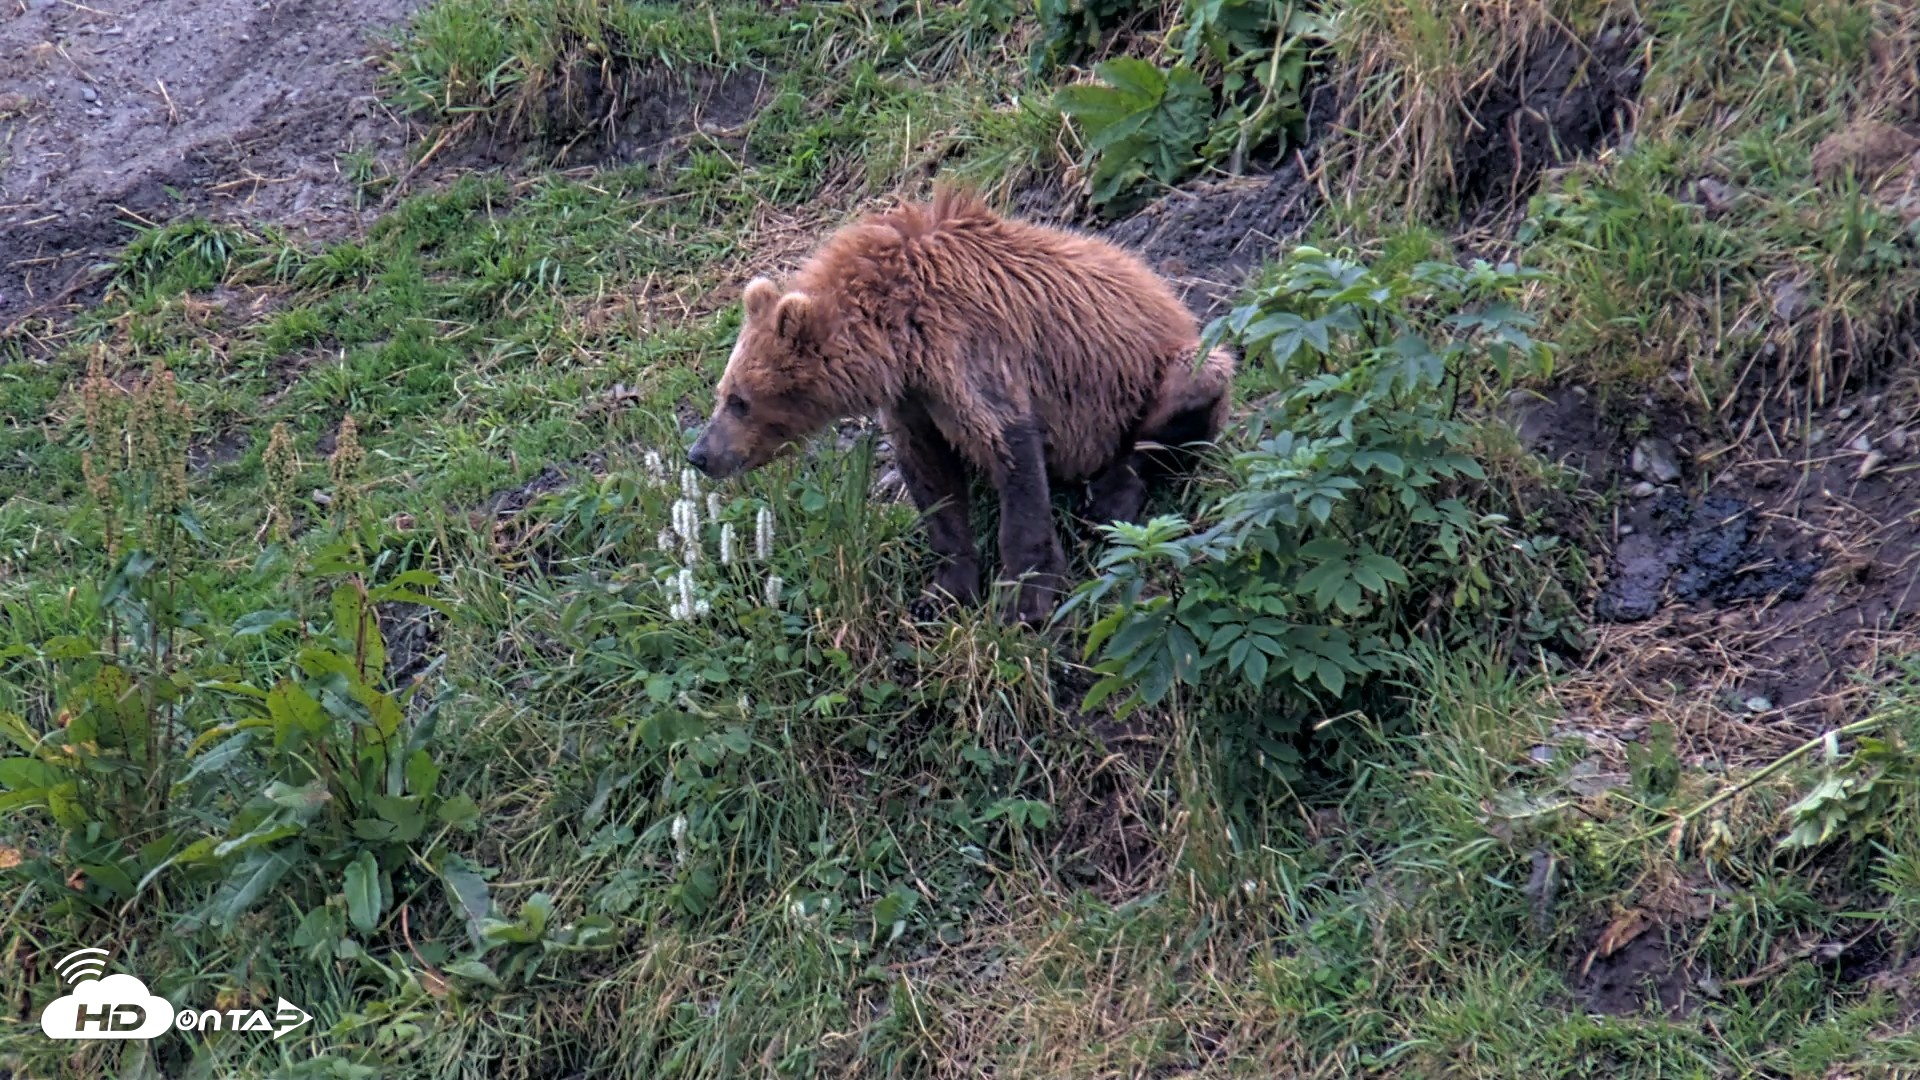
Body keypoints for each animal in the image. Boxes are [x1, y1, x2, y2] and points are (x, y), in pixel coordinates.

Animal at [686, 183, 1236, 626]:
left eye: (739, 400)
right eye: (723, 392)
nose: (700, 454)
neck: (899, 336)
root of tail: (1174, 300)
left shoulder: (970, 353)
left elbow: (1012, 455)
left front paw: (1025, 601)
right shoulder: (916, 399)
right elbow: (933, 481)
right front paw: (943, 592)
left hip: (1167, 367)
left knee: (1183, 396)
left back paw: (1110, 495)